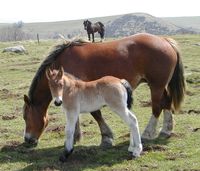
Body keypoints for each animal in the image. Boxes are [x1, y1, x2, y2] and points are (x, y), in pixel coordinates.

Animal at [23, 33, 186, 148]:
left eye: (26, 117)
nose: (27, 140)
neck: (63, 63)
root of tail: (164, 40)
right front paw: (75, 137)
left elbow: (96, 114)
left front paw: (106, 137)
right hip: (160, 85)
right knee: (167, 102)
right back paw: (166, 130)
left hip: (156, 86)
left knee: (157, 107)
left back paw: (148, 133)